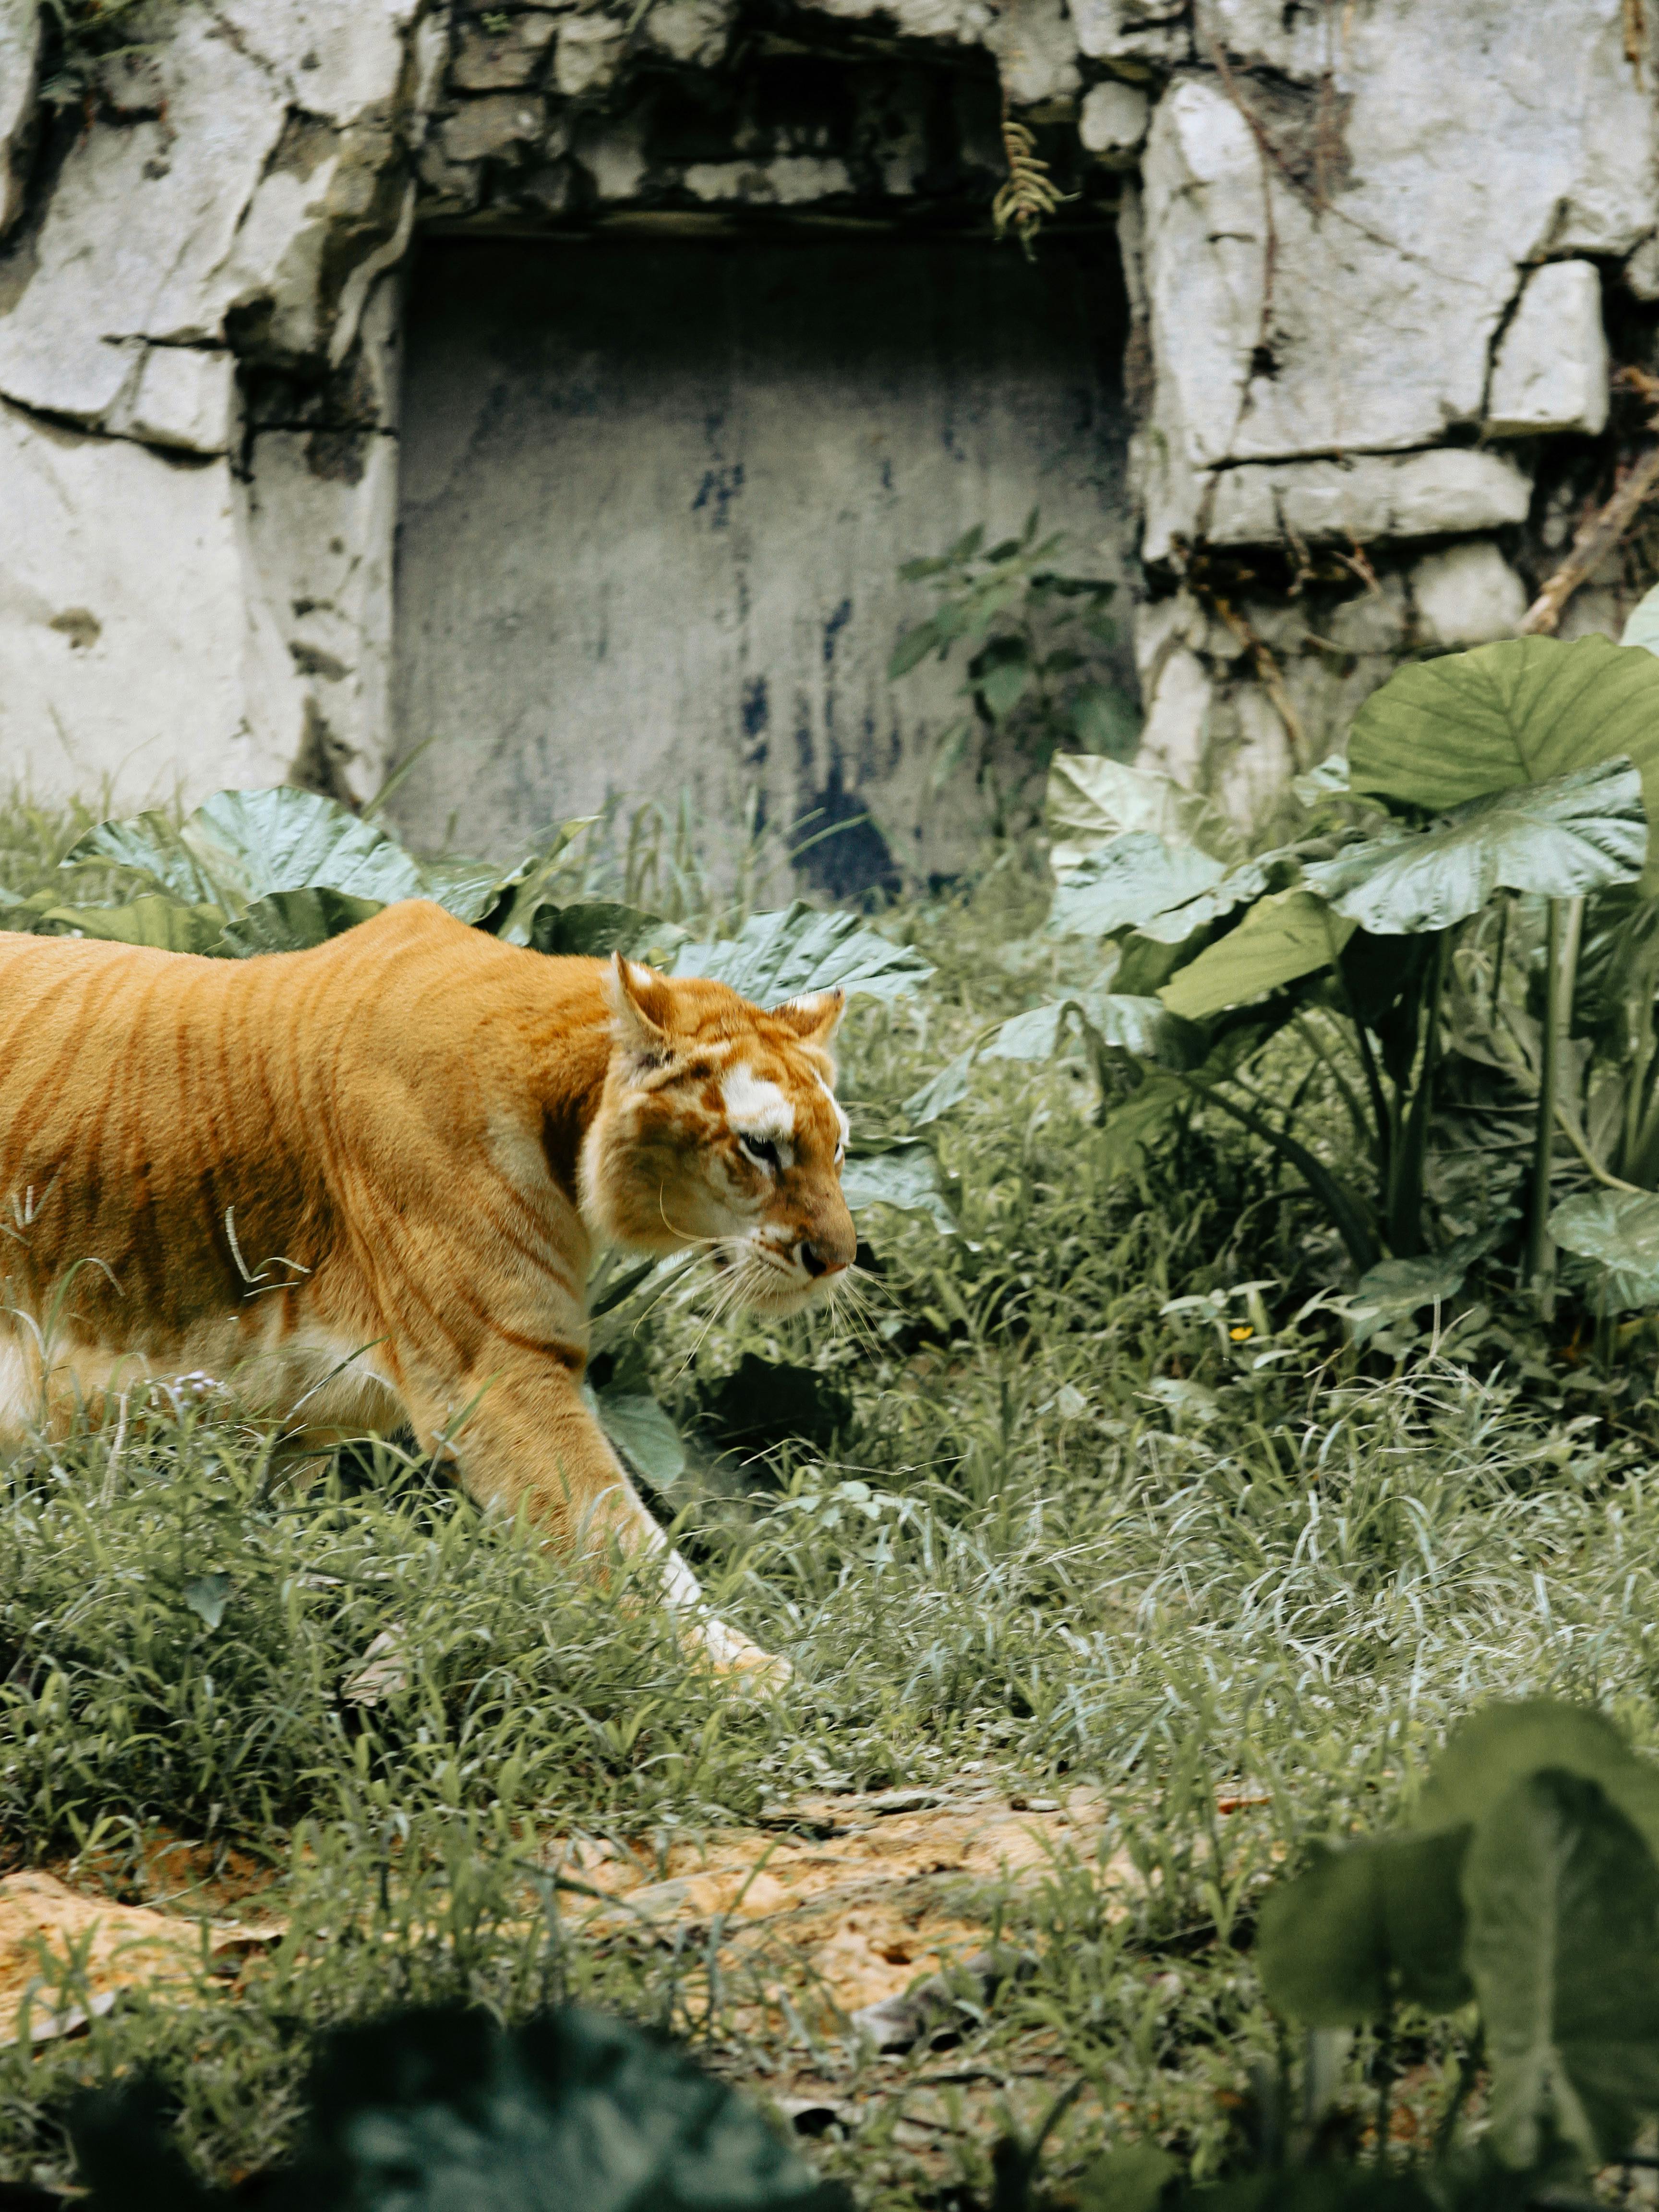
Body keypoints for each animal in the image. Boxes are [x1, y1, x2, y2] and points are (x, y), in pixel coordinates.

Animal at [0, 898, 858, 1672]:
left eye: (838, 1148)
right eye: (762, 1148)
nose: (840, 1258)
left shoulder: (293, 1417)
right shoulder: (497, 1371)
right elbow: (616, 1534)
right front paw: (748, 1678)